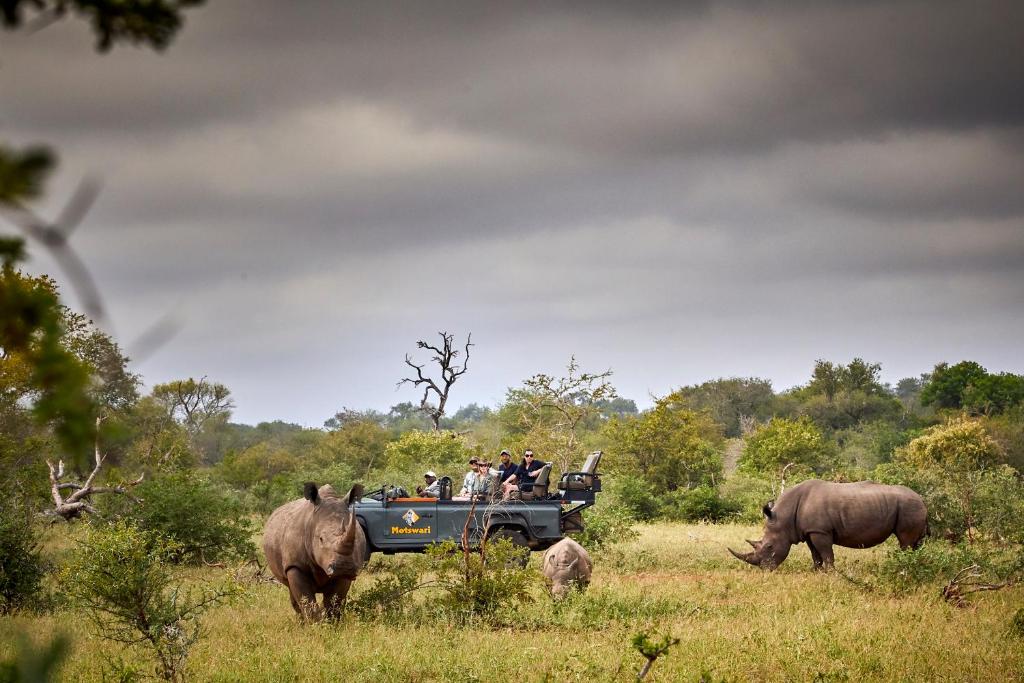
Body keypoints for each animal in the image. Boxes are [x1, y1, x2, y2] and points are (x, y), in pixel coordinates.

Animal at [262, 483, 366, 622]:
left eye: (356, 541)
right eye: (321, 539)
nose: (344, 567)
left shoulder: (346, 573)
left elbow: (334, 601)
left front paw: (331, 624)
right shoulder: (295, 565)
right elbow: (306, 600)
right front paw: (314, 624)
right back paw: (300, 623)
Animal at [729, 481, 929, 573]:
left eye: (769, 546)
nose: (765, 569)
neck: (784, 519)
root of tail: (923, 500)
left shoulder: (821, 531)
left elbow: (827, 554)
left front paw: (831, 574)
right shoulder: (809, 531)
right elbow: (815, 555)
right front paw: (816, 572)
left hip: (909, 507)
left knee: (905, 542)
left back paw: (902, 569)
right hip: (911, 507)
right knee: (916, 544)